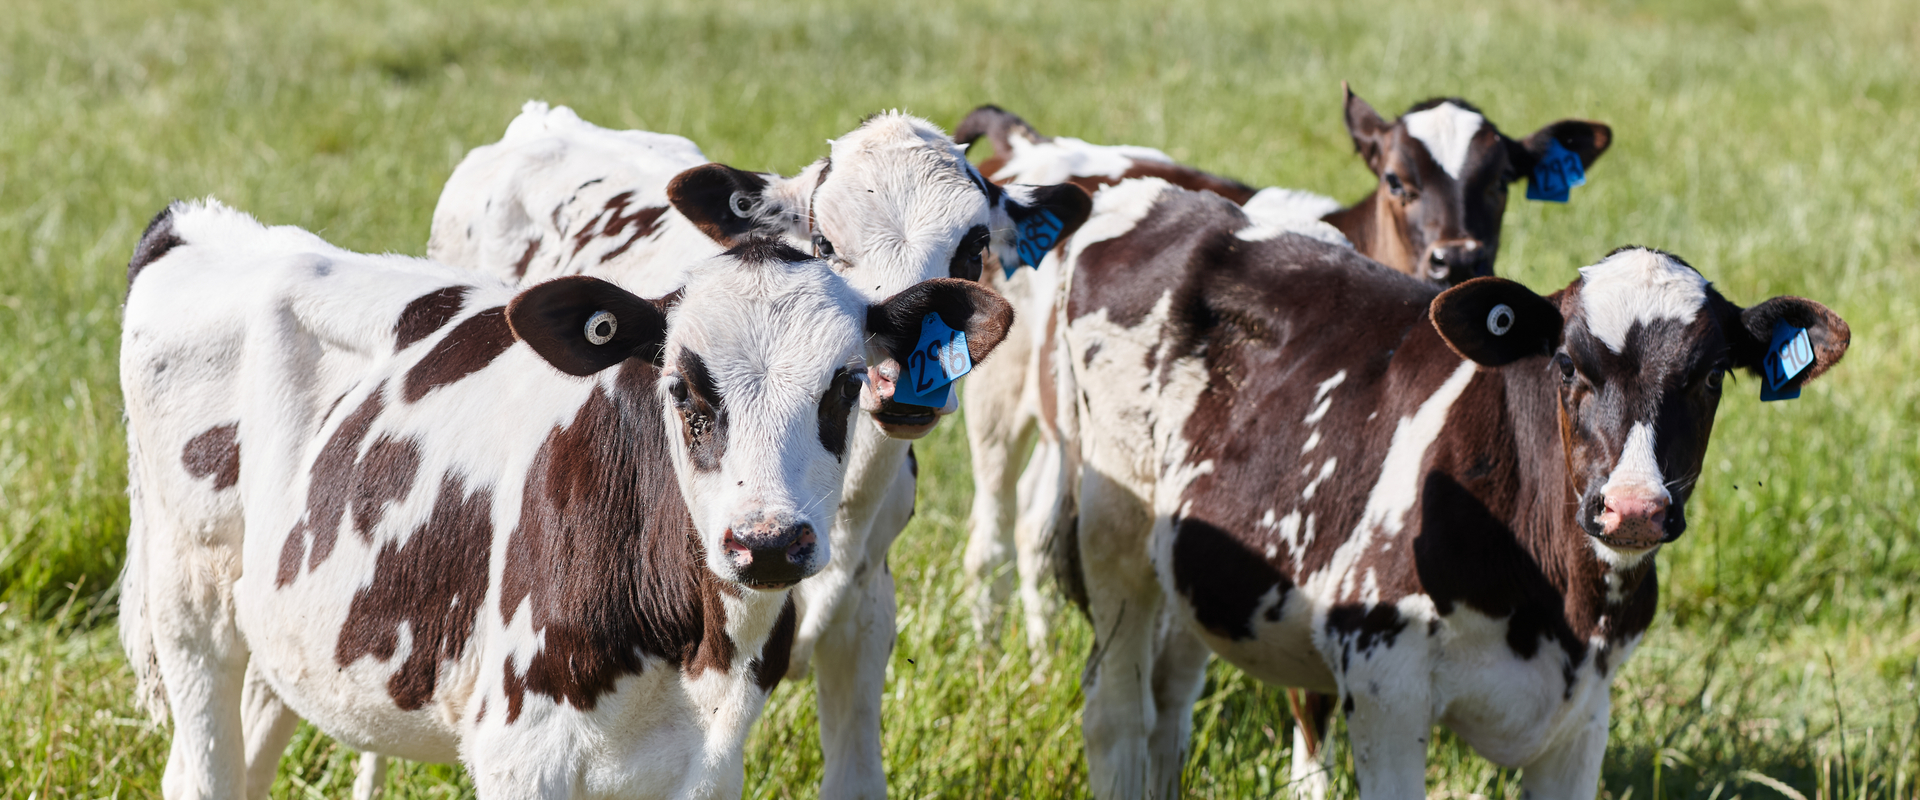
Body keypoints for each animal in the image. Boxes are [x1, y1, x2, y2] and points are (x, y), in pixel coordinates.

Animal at [117, 199, 1014, 799]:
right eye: (681, 388)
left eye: (847, 383)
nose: (766, 542)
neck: (688, 642)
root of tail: (199, 224)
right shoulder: (521, 753)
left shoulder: (708, 763)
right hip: (191, 610)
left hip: (285, 633)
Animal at [1040, 178, 1849, 799]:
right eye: (1565, 363)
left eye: (1709, 377)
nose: (1634, 508)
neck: (1564, 608)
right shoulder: (1384, 682)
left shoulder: (1583, 714)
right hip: (1112, 535)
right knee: (1115, 713)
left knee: (1170, 703)